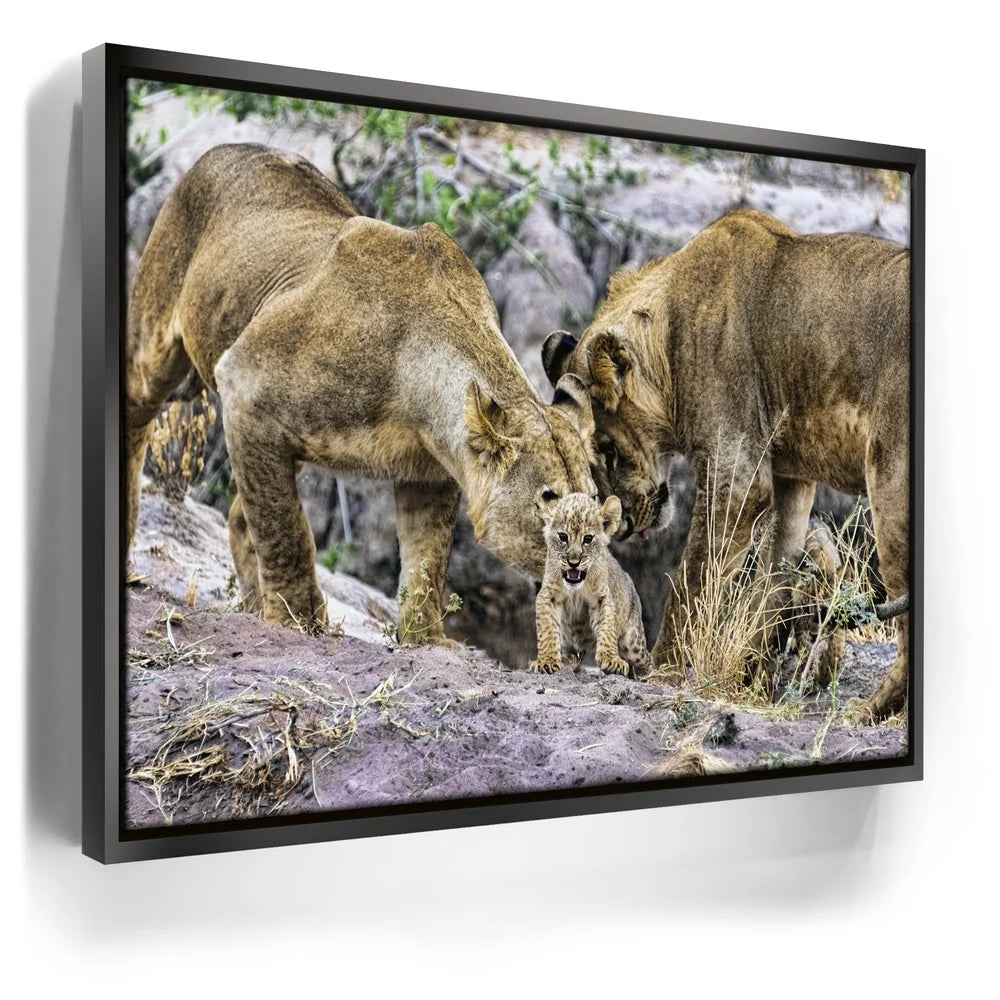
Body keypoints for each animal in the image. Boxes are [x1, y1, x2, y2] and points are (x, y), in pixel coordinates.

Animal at [127, 143, 597, 642]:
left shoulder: (431, 472)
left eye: (598, 511)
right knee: (136, 417)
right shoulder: (244, 384)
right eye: (551, 505)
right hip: (158, 344)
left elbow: (427, 563)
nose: (584, 565)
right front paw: (300, 621)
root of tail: (225, 149)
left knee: (239, 514)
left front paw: (426, 640)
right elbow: (286, 531)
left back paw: (252, 607)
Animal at [530, 492, 650, 678]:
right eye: (563, 537)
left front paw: (611, 660)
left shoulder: (602, 597)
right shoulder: (548, 595)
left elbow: (607, 628)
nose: (573, 563)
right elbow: (547, 630)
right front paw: (547, 661)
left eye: (588, 539)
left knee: (646, 661)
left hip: (634, 642)